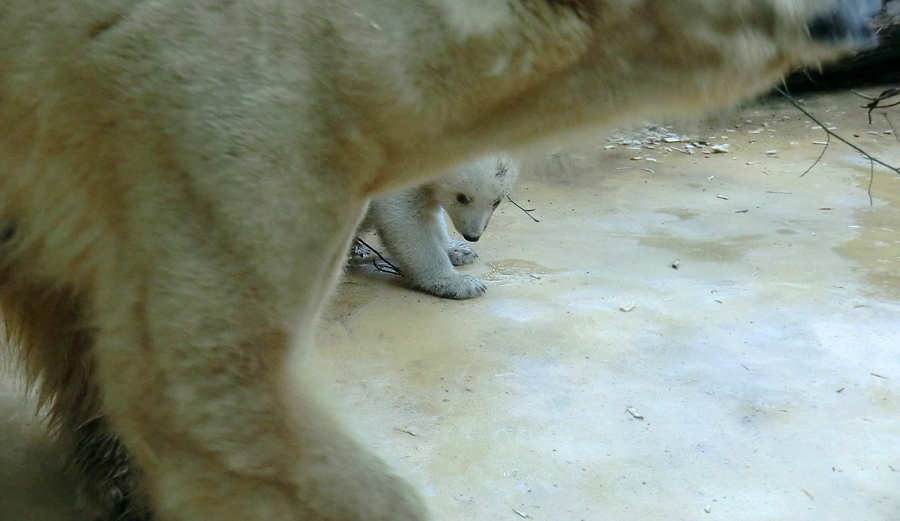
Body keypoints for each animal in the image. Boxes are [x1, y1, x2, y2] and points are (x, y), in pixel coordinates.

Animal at [0, 1, 880, 520]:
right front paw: (458, 278)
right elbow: (213, 386)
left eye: (496, 200)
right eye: (469, 196)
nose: (480, 235)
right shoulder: (217, 121)